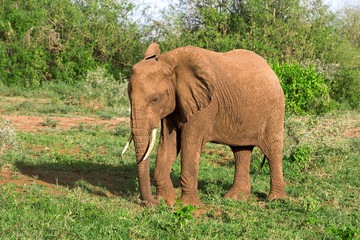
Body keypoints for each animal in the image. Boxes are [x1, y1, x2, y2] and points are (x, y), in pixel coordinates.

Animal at [124, 43, 286, 206]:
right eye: (129, 97)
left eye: (155, 99)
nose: (153, 202)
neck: (168, 63)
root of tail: (271, 70)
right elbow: (168, 144)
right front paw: (168, 201)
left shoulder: (204, 105)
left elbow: (190, 144)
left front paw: (188, 205)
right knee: (241, 151)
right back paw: (235, 198)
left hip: (275, 111)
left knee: (272, 151)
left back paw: (275, 199)